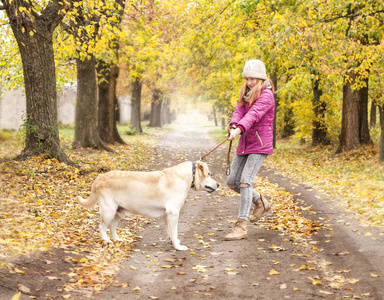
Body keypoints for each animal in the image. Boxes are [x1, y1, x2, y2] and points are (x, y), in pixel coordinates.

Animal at [75, 161, 219, 250]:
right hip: (108, 211)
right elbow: (175, 231)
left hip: (118, 212)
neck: (184, 177)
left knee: (112, 227)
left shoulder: (167, 215)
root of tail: (98, 178)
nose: (218, 184)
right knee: (102, 227)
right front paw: (178, 247)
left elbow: (170, 232)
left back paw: (117, 240)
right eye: (209, 174)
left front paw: (173, 242)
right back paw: (107, 241)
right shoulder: (173, 213)